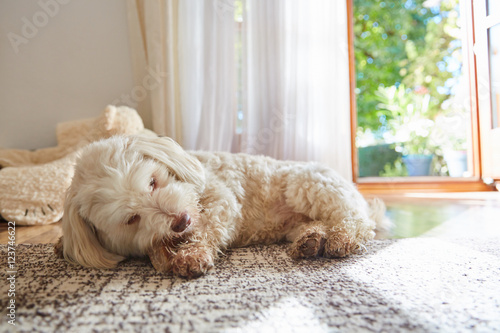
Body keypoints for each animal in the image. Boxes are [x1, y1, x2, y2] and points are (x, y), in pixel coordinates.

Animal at [57, 135, 386, 278]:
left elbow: (207, 229)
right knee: (318, 224)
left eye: (152, 182)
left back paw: (341, 238)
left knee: (356, 221)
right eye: (131, 219)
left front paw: (191, 255)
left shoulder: (221, 200)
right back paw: (312, 240)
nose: (180, 220)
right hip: (295, 221)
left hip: (307, 184)